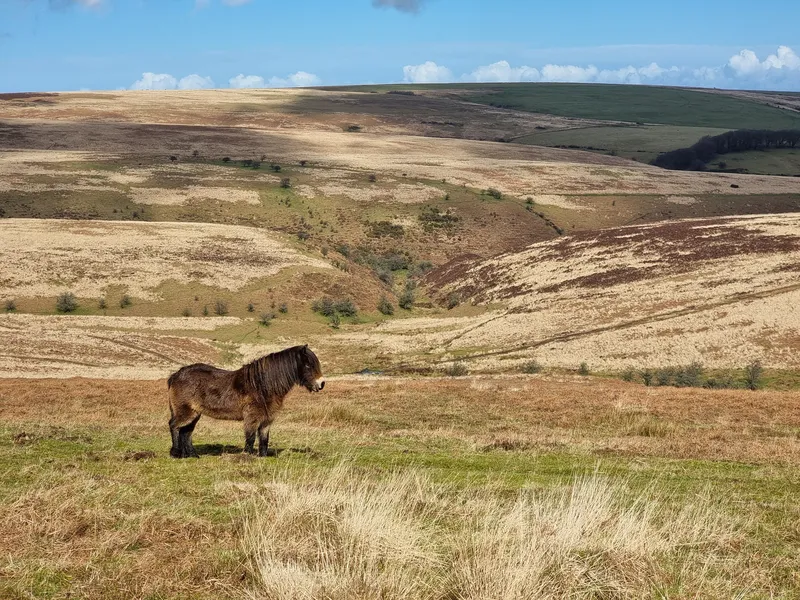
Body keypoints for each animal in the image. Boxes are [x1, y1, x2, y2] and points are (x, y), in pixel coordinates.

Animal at [167, 344, 325, 458]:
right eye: (308, 365)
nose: (321, 384)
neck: (262, 384)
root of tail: (176, 375)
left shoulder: (267, 420)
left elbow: (264, 440)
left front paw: (262, 457)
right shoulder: (252, 418)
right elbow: (250, 438)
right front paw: (247, 456)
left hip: (194, 414)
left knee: (186, 432)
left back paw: (192, 455)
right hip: (185, 412)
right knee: (174, 426)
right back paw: (176, 454)